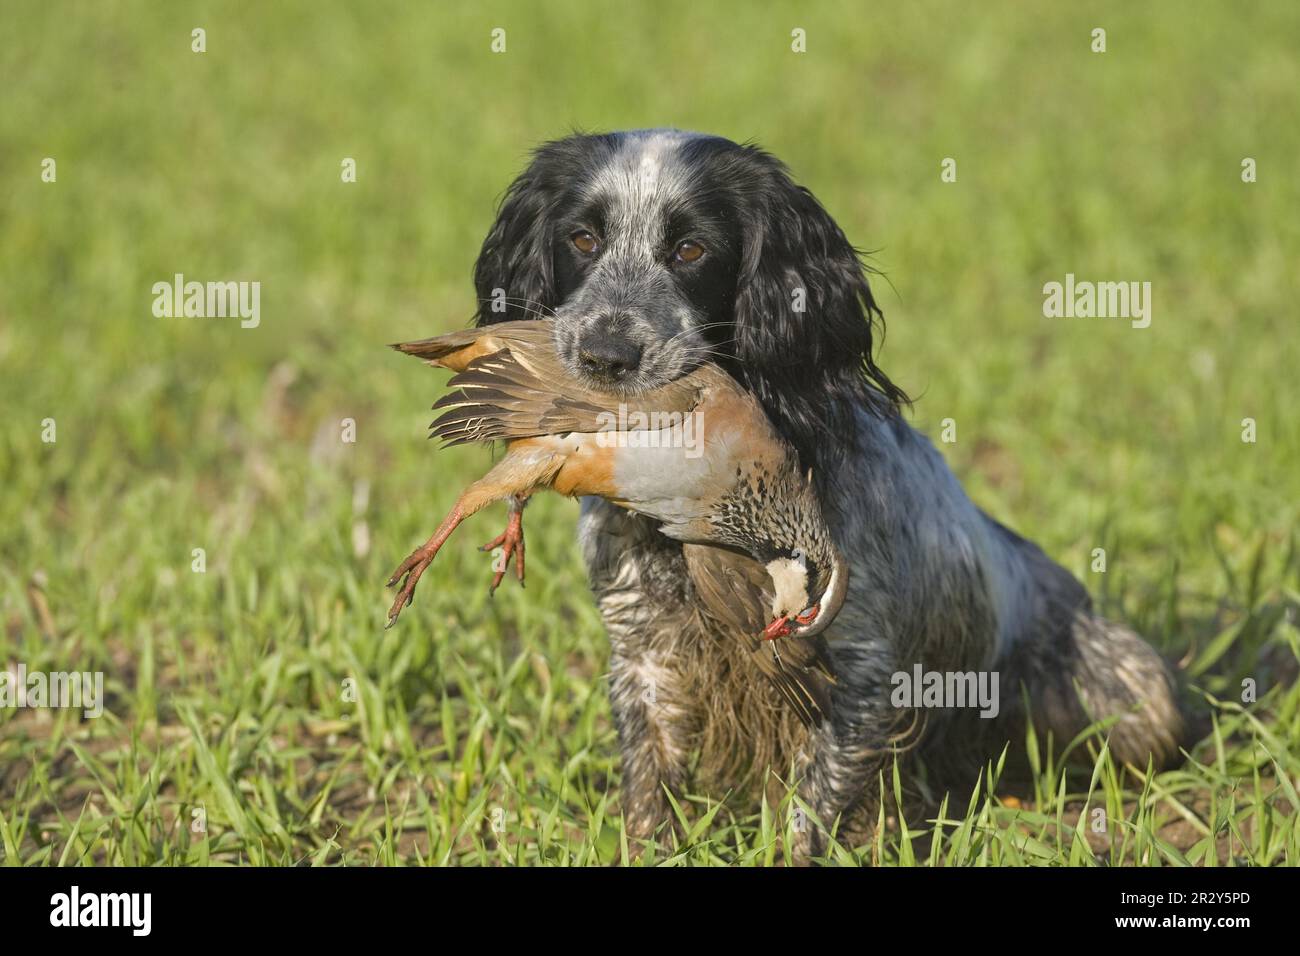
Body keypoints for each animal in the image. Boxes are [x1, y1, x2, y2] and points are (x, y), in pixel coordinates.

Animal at [467, 128, 1190, 858]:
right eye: (583, 238)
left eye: (691, 249)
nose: (604, 356)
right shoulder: (644, 655)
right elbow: (649, 797)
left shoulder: (862, 679)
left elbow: (808, 816)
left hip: (1139, 700)